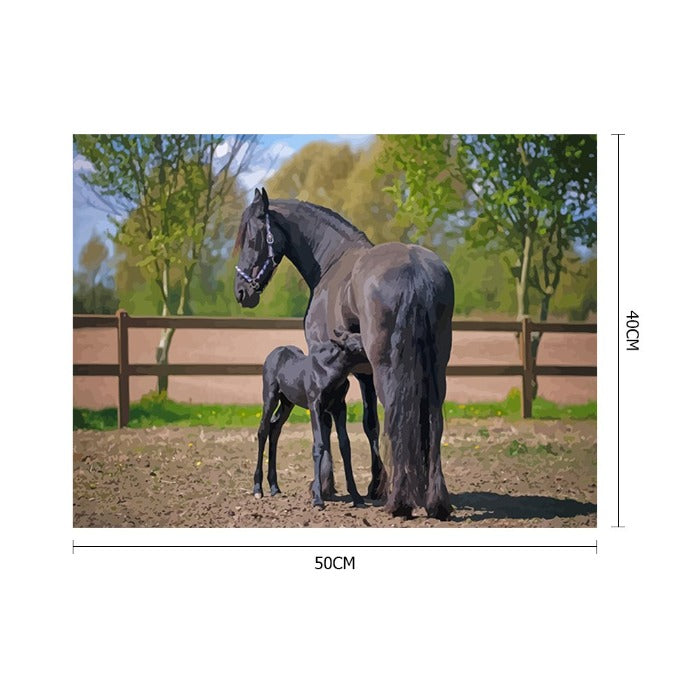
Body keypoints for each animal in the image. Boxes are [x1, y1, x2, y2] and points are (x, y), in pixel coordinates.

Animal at [253, 331, 366, 508]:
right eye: (358, 347)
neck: (330, 372)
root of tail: (275, 353)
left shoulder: (340, 408)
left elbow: (345, 445)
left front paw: (356, 496)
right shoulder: (315, 406)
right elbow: (318, 445)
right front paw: (318, 498)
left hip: (287, 403)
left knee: (275, 428)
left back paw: (274, 487)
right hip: (270, 397)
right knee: (263, 430)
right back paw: (258, 488)